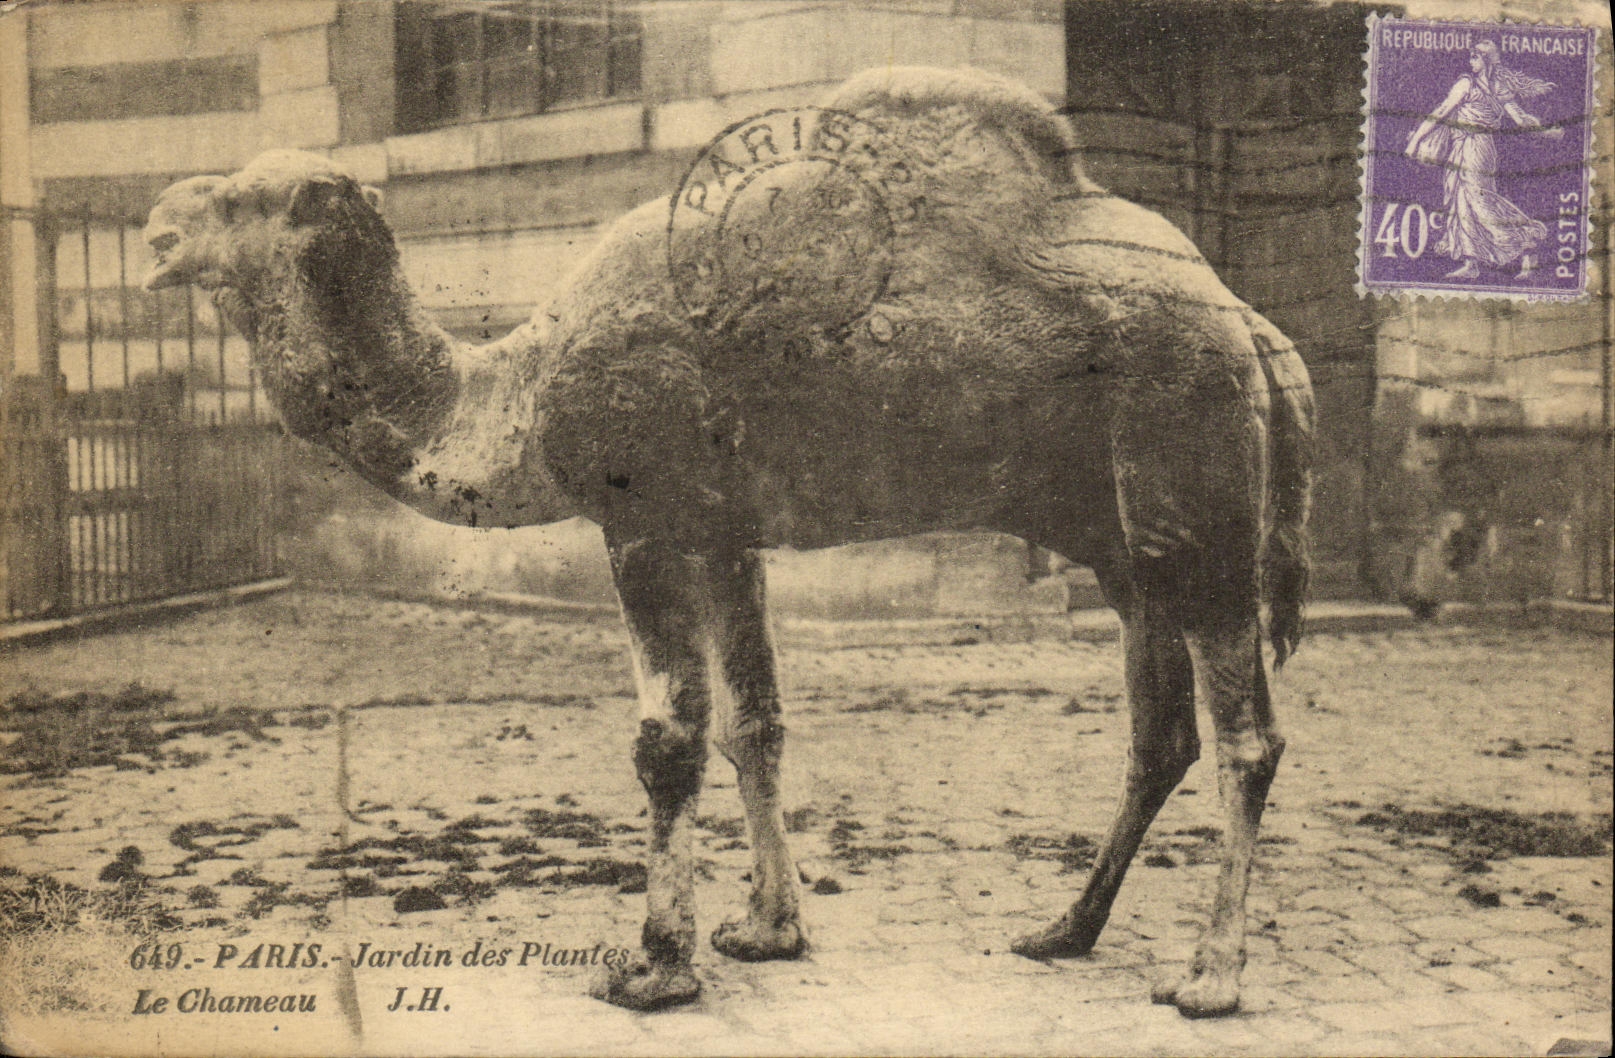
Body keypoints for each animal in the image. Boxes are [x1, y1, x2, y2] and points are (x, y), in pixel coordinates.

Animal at [143, 66, 1314, 1018]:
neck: (508, 392)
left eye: (243, 199)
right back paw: (1063, 930)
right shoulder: (724, 532)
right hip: (1125, 537)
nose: (154, 224)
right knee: (1160, 732)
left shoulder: (645, 516)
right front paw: (765, 930)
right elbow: (756, 720)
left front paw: (655, 966)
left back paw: (1209, 977)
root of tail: (1253, 326)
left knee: (1245, 734)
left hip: (1193, 475)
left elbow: (666, 738)